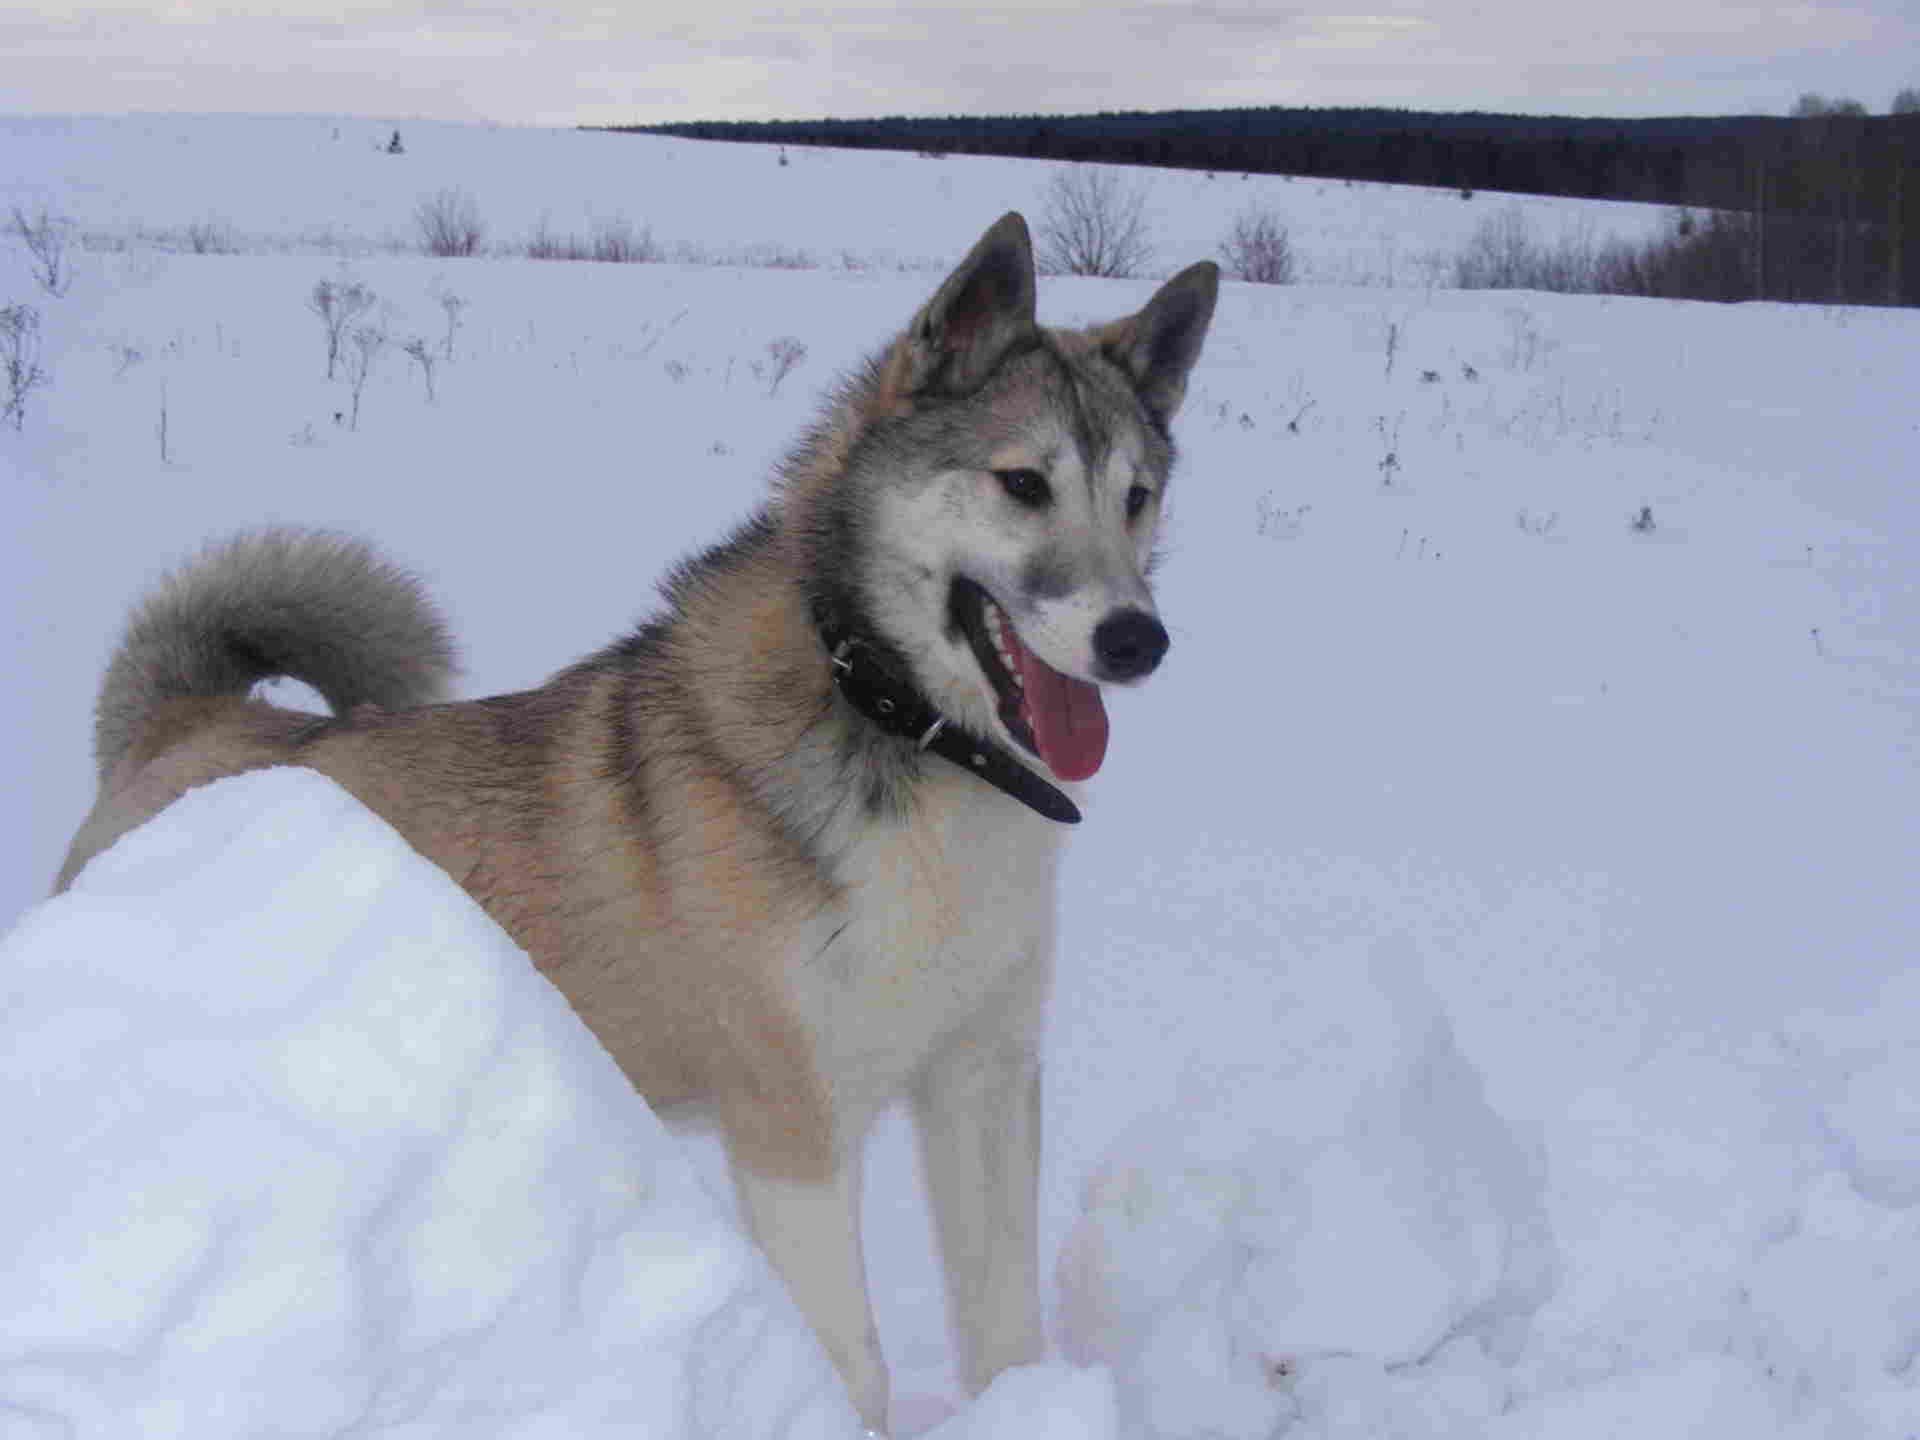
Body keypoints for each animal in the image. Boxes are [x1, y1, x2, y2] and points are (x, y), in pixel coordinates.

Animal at [63, 214, 1228, 1436]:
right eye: (1021, 484)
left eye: (1138, 493)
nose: (1137, 638)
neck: (905, 737)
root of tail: (184, 717)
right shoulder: (791, 1126)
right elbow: (853, 1362)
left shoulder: (982, 1076)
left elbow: (1004, 1328)